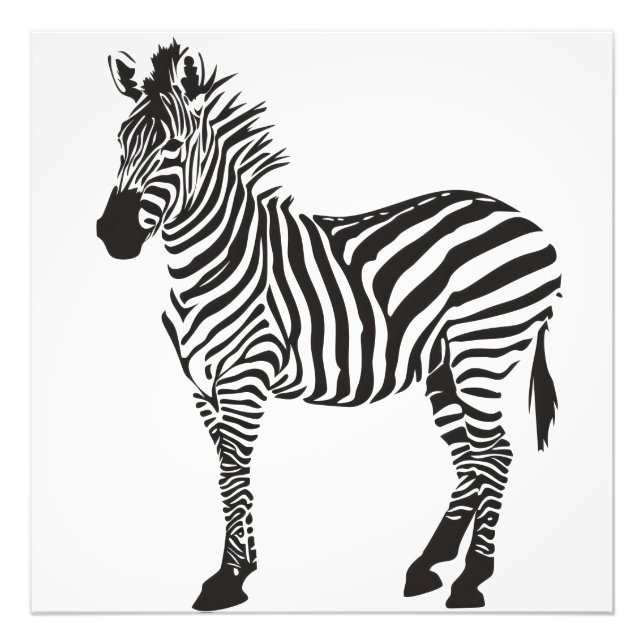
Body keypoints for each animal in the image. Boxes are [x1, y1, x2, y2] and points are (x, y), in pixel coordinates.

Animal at [97, 41, 561, 611]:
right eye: (121, 141)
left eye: (174, 146)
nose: (112, 233)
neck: (212, 263)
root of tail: (527, 221)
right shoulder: (203, 388)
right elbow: (230, 473)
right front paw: (244, 566)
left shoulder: (245, 378)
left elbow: (233, 472)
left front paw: (227, 579)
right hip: (445, 367)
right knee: (468, 458)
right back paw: (428, 566)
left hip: (484, 349)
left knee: (495, 454)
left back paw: (471, 579)